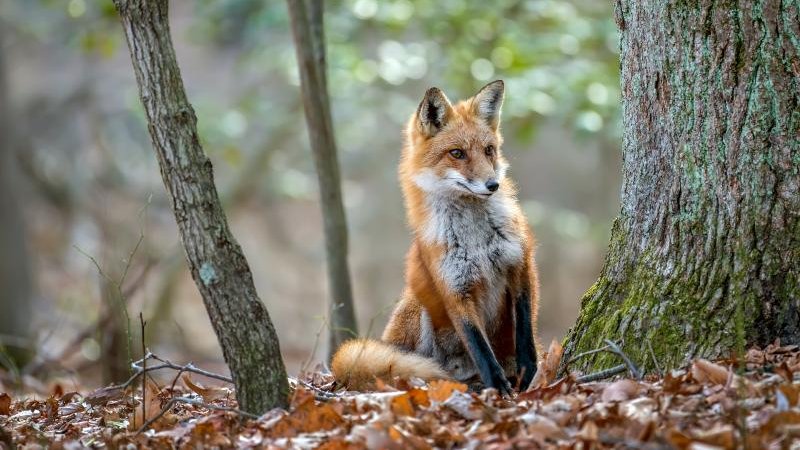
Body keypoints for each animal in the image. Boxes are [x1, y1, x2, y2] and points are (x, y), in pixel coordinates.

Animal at [332, 80, 539, 395]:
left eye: (489, 150)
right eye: (457, 153)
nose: (493, 184)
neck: (476, 239)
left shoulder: (520, 266)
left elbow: (526, 330)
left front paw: (526, 371)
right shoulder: (454, 288)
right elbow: (479, 345)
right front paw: (499, 387)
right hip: (419, 306)